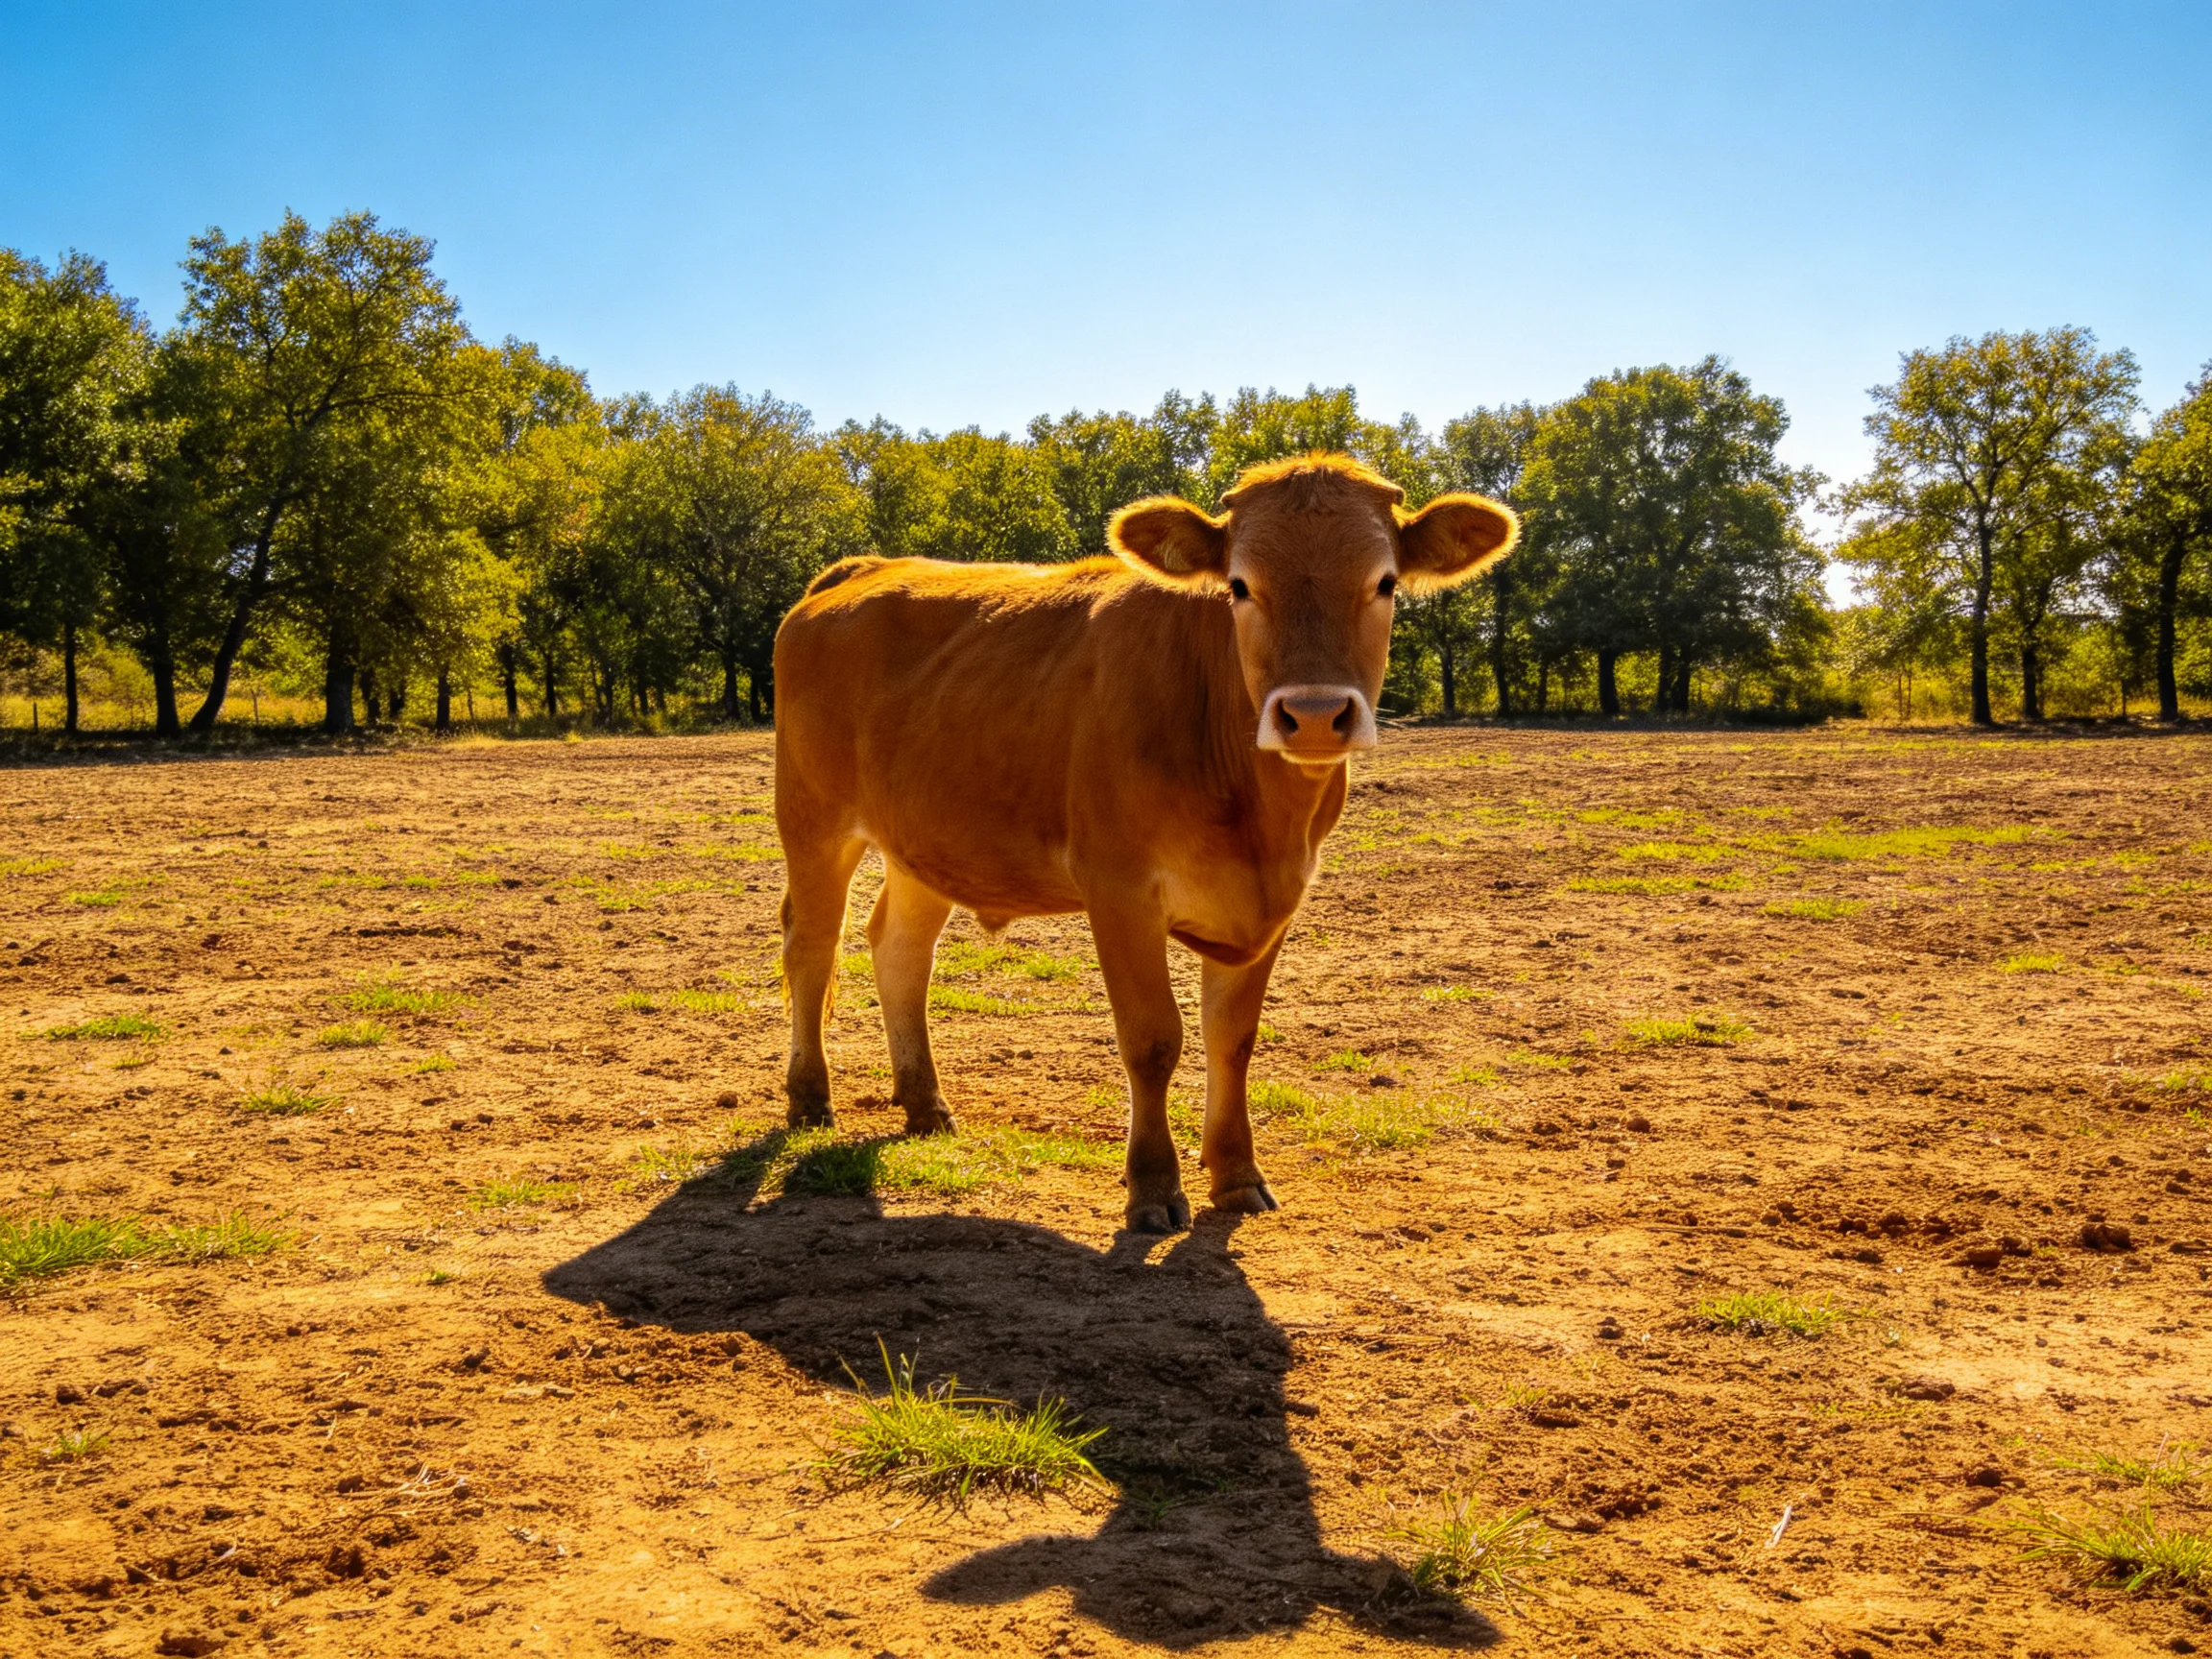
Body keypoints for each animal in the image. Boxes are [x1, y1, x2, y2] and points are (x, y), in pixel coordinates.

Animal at [771, 453, 1517, 1233]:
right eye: (1239, 585)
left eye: (1385, 582)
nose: (1313, 715)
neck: (1255, 811)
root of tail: (863, 568)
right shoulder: (1118, 885)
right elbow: (1153, 1038)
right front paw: (1155, 1185)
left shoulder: (1275, 898)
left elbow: (1233, 1039)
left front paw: (1237, 1174)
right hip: (814, 817)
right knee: (812, 946)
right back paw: (811, 1097)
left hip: (927, 837)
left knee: (901, 950)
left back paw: (925, 1104)